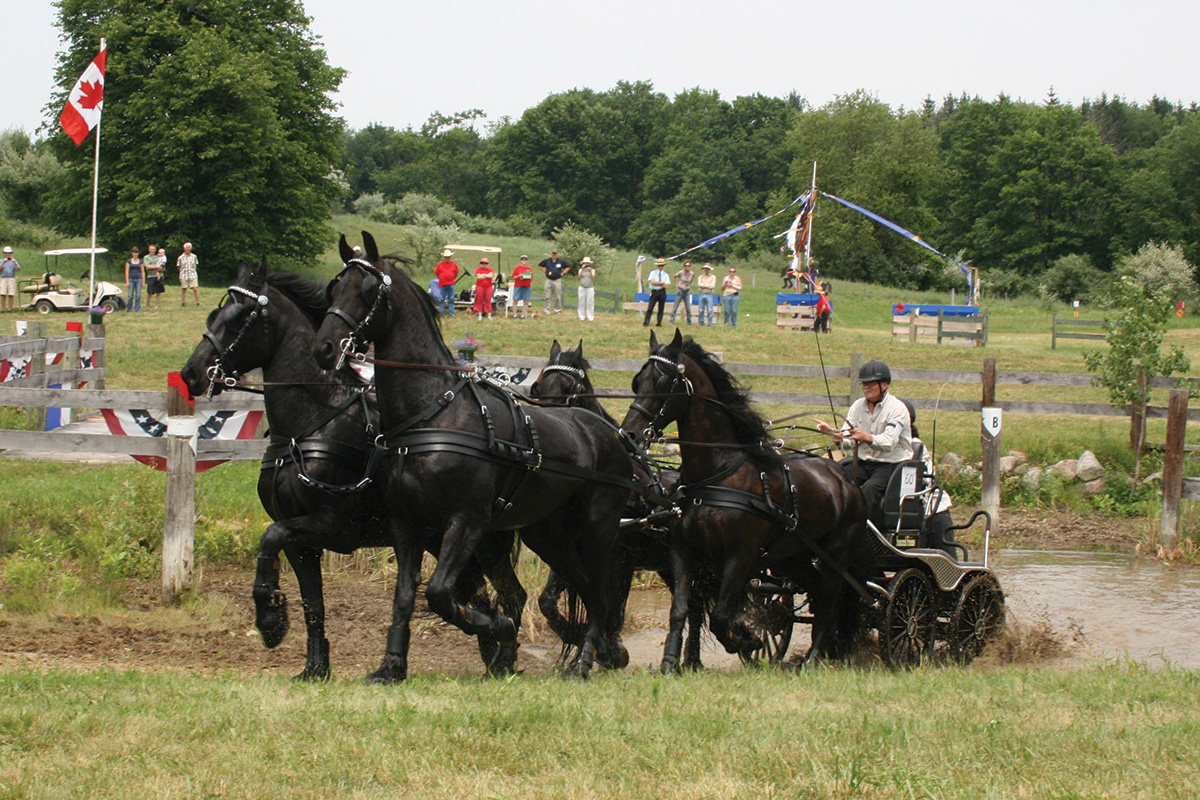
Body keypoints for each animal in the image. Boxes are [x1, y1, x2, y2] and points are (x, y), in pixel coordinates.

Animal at [181, 261, 525, 681]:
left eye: (239, 317)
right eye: (213, 316)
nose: (192, 373)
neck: (311, 424)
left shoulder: (332, 526)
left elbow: (269, 537)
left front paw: (271, 620)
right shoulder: (301, 540)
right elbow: (312, 602)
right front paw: (314, 665)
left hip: (483, 540)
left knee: (507, 594)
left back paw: (504, 654)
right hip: (441, 538)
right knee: (478, 593)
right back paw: (494, 652)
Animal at [309, 232, 633, 681]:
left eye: (368, 290)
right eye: (334, 288)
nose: (324, 348)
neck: (432, 413)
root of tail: (608, 432)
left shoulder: (467, 521)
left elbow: (440, 594)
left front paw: (499, 628)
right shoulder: (406, 523)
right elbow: (405, 596)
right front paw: (391, 666)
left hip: (598, 528)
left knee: (599, 592)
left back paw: (584, 660)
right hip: (549, 535)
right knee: (582, 587)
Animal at [619, 328, 873, 671]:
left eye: (662, 382)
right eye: (637, 381)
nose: (628, 435)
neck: (717, 475)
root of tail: (845, 478)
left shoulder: (740, 556)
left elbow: (721, 616)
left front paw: (747, 639)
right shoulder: (683, 551)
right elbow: (681, 609)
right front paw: (671, 662)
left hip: (837, 554)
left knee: (830, 602)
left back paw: (813, 658)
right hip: (794, 557)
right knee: (818, 593)